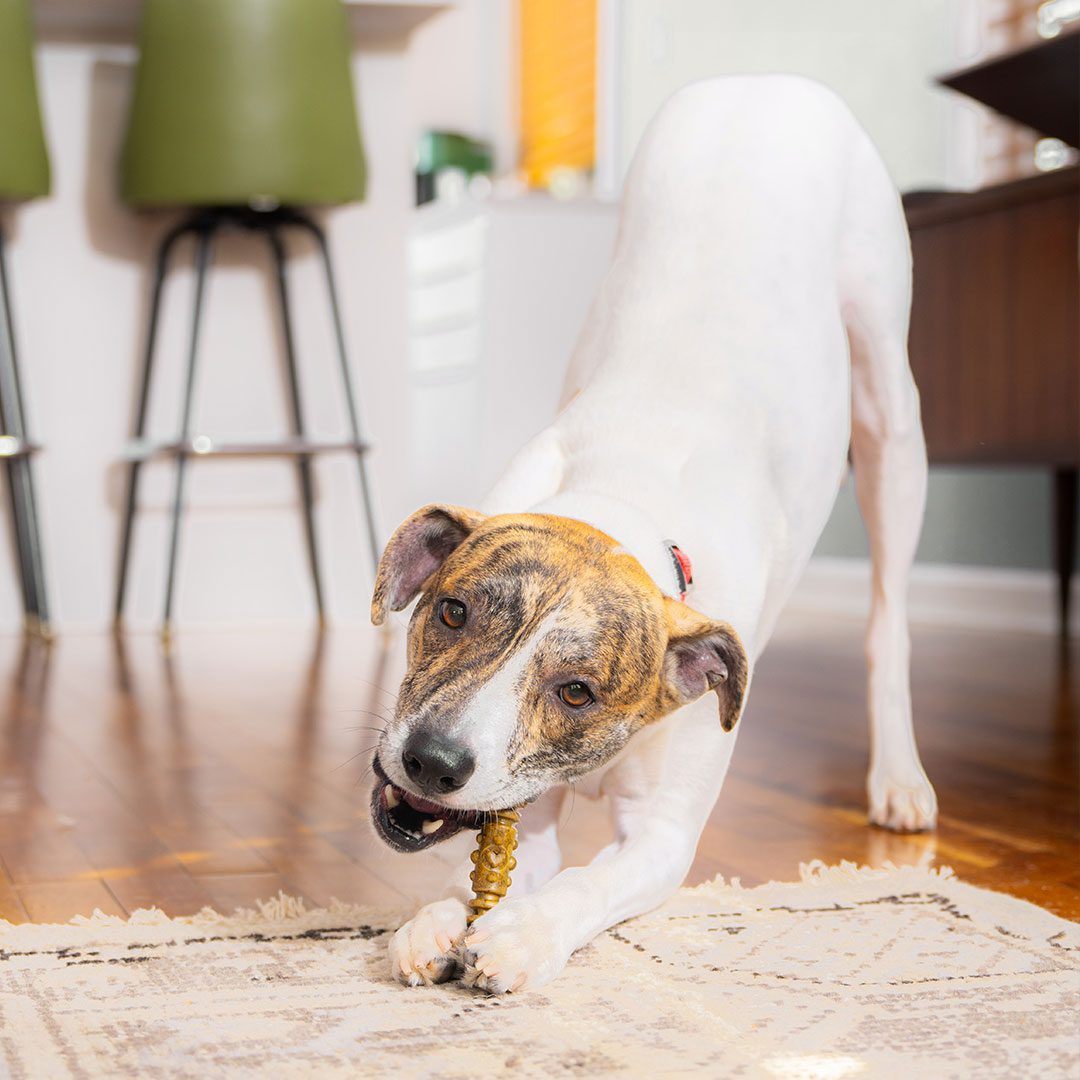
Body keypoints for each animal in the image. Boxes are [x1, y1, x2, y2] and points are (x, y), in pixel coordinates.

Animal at [365, 76, 937, 993]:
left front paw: (522, 934)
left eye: (578, 691)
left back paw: (899, 778)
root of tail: (767, 80)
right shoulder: (524, 811)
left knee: (889, 614)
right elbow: (498, 869)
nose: (433, 761)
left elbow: (589, 884)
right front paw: (440, 918)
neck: (625, 505)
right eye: (452, 613)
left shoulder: (664, 838)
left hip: (890, 408)